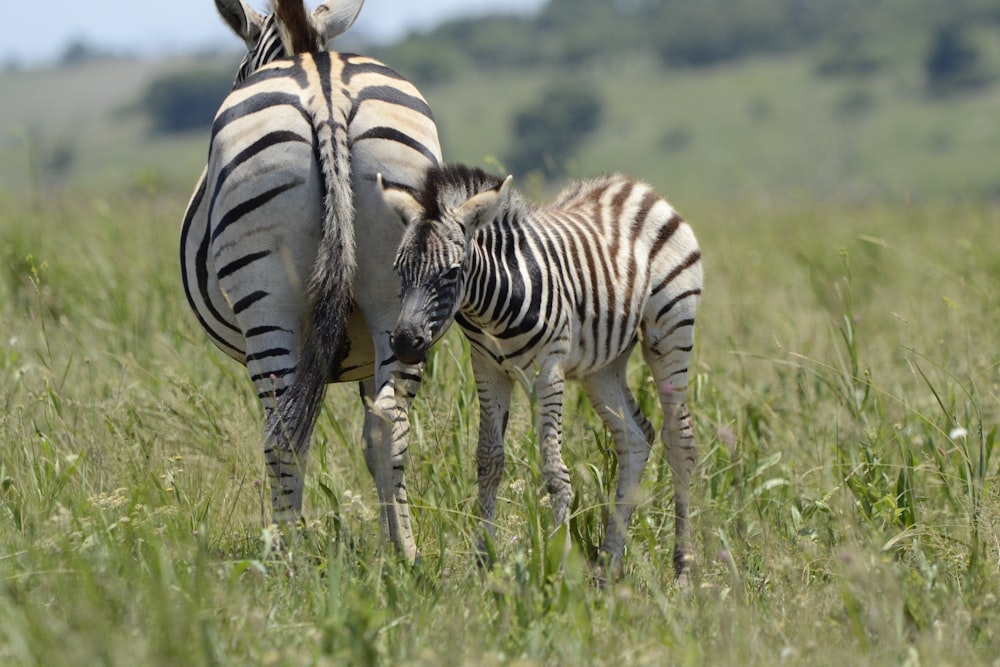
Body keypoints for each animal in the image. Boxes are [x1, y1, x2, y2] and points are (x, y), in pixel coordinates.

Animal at [179, 0, 442, 560]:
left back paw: (285, 555)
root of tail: (325, 90)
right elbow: (369, 438)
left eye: (240, 69)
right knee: (391, 424)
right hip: (399, 289)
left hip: (265, 299)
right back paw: (406, 556)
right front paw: (389, 540)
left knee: (281, 433)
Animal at [376, 164, 704, 580]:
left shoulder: (549, 367)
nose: (404, 343)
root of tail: (637, 188)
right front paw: (484, 563)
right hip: (603, 365)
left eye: (452, 272)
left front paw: (559, 567)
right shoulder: (487, 366)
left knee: (679, 439)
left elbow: (554, 471)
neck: (491, 306)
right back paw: (607, 565)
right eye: (398, 270)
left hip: (671, 331)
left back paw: (682, 569)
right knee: (634, 437)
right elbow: (489, 461)